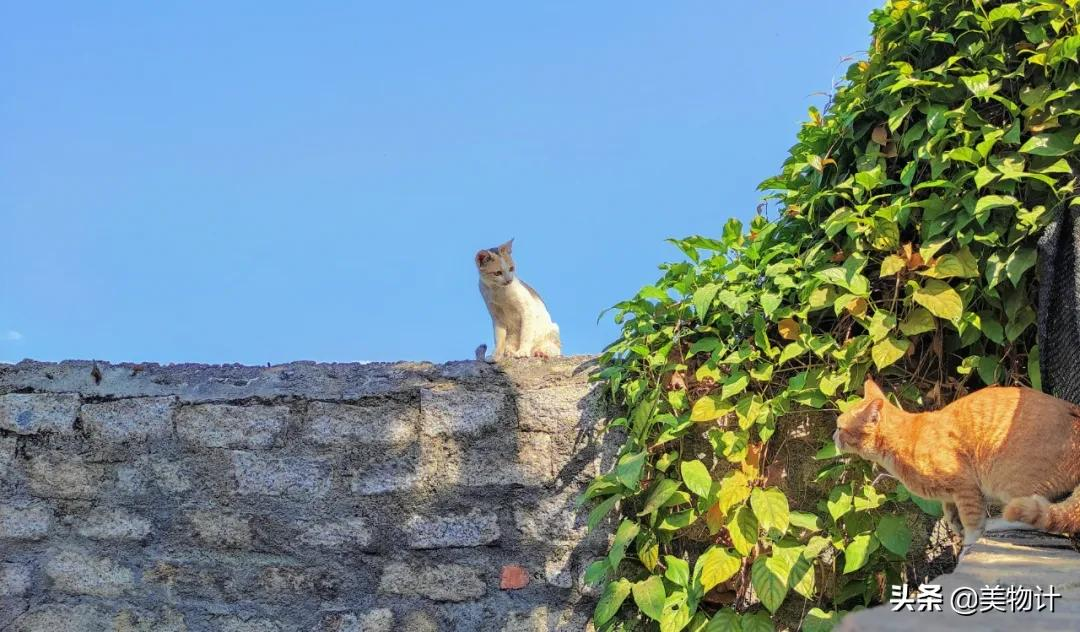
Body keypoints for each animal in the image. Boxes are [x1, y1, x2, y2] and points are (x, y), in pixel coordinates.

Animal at [838, 378, 1080, 548]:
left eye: (840, 427)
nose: (834, 435)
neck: (905, 438)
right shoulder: (950, 495)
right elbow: (949, 512)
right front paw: (954, 525)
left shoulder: (965, 486)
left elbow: (972, 521)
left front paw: (969, 541)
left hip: (1008, 483)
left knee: (1027, 514)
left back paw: (997, 522)